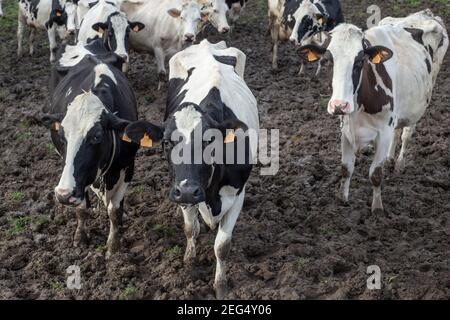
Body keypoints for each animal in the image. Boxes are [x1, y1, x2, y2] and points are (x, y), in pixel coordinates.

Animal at [43, 47, 141, 258]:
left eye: (96, 137)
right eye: (61, 135)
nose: (62, 195)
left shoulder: (128, 167)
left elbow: (115, 210)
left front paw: (114, 246)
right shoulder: (77, 178)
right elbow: (81, 208)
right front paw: (80, 238)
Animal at [123, 39, 258, 298]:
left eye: (209, 140)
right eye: (167, 142)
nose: (188, 191)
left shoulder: (238, 193)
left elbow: (222, 246)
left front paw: (220, 285)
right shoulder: (180, 188)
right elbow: (190, 228)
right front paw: (188, 262)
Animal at [298, 10, 448, 215]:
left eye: (360, 61)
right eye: (326, 60)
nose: (339, 105)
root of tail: (425, 14)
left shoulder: (383, 132)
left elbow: (376, 174)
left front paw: (377, 208)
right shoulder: (345, 129)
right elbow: (346, 168)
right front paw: (342, 199)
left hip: (423, 98)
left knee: (406, 134)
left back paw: (399, 163)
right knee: (398, 132)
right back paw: (390, 158)